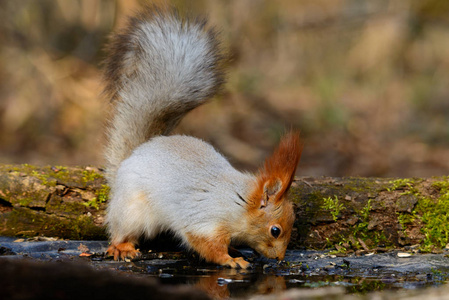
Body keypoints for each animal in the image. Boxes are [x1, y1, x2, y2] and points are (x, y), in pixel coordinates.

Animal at [103, 4, 302, 268]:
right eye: (275, 230)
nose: (279, 258)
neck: (237, 203)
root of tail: (134, 154)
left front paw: (236, 251)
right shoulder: (204, 219)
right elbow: (207, 245)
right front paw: (231, 260)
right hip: (132, 211)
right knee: (119, 232)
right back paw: (122, 247)